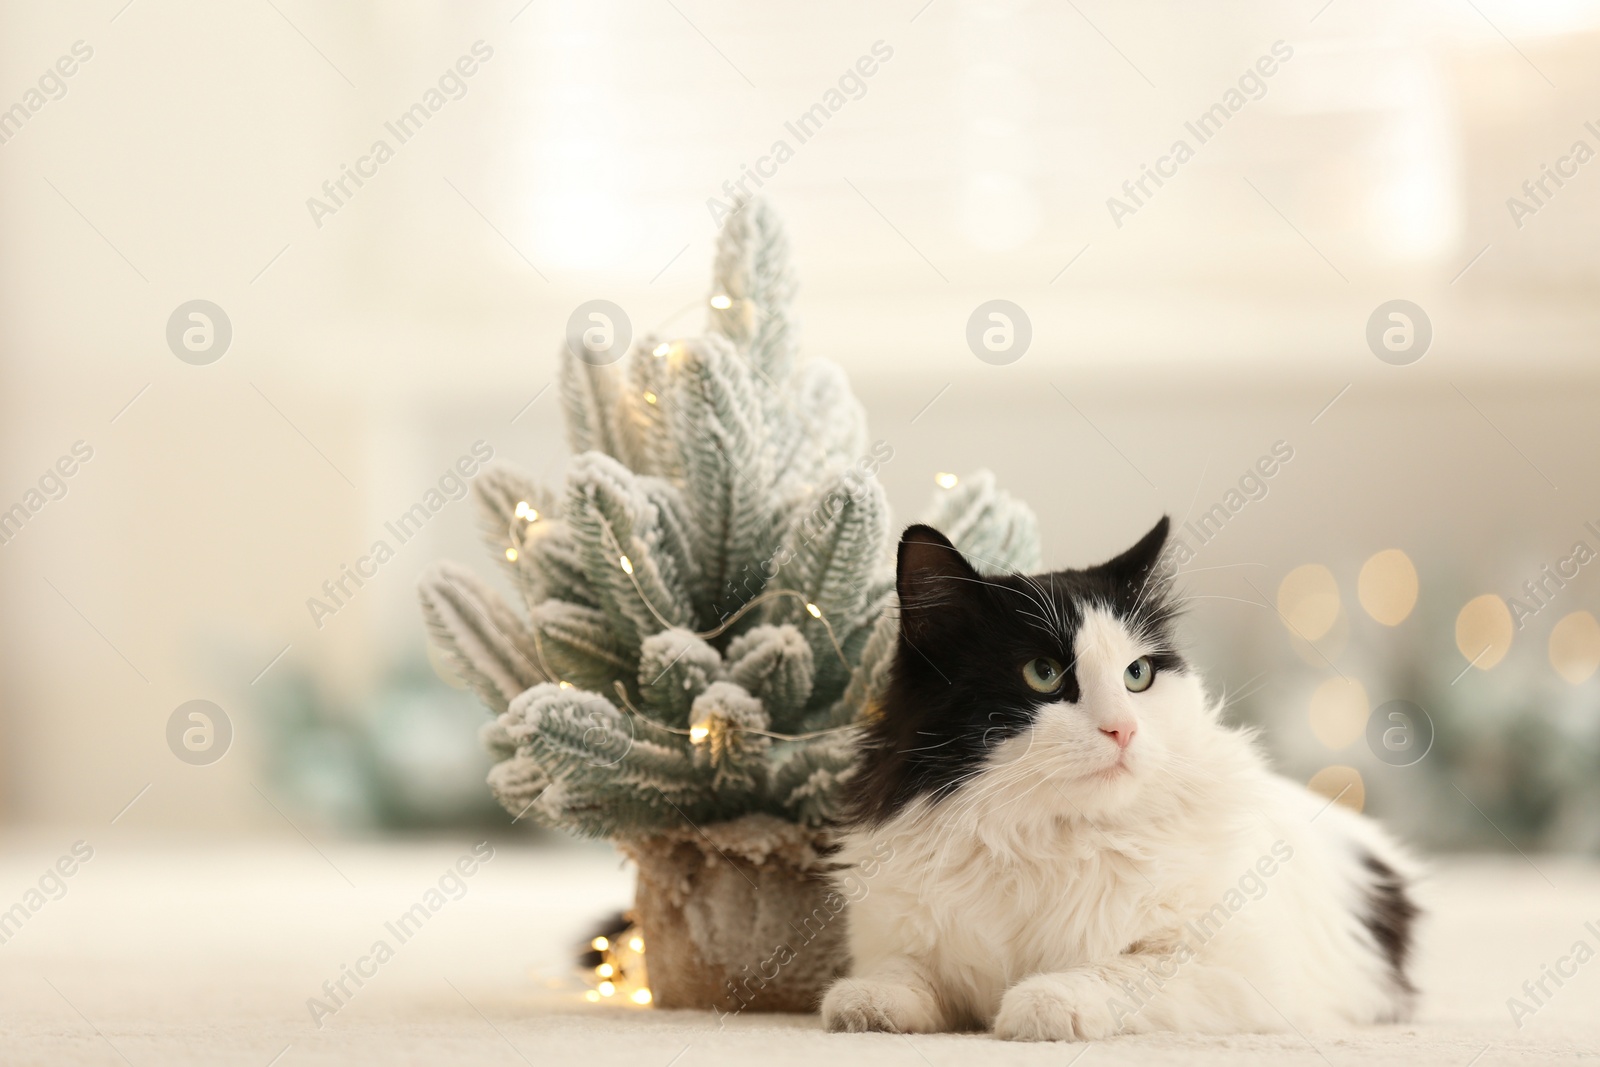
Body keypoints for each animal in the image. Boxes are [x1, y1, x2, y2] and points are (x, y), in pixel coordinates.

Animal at [819, 524, 1420, 1043]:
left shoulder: (1237, 966)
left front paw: (1039, 1003)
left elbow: (1114, 971)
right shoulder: (892, 939)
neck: (1045, 839)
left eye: (1138, 676)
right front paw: (864, 1005)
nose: (1123, 729)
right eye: (1042, 674)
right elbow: (902, 973)